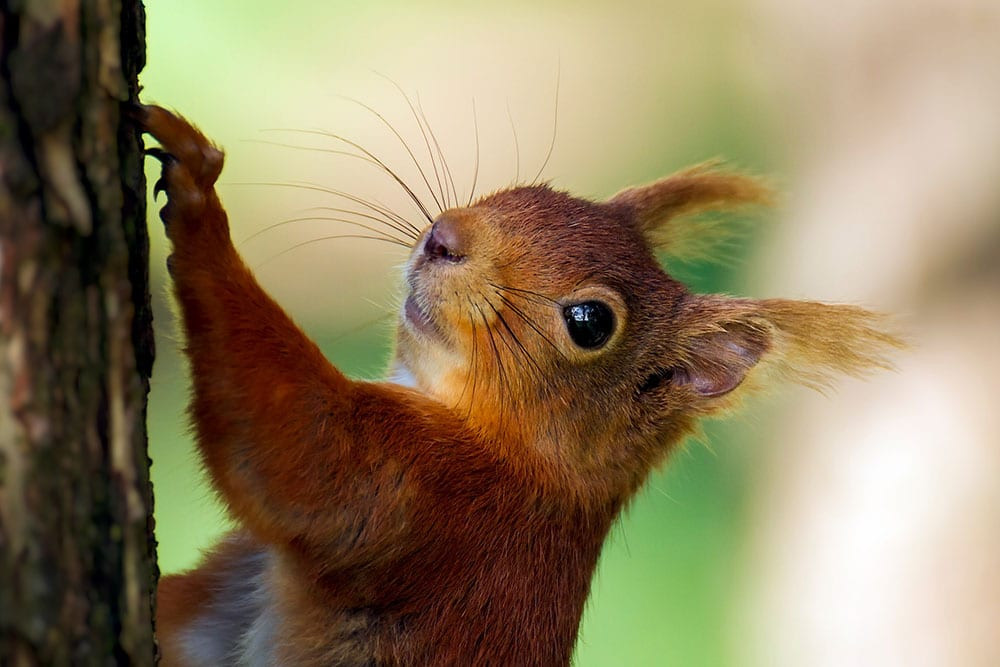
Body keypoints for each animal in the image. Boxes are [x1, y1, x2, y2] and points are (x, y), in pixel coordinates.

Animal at [136, 104, 901, 666]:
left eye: (591, 322)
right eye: (528, 194)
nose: (444, 236)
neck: (535, 464)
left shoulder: (435, 500)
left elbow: (294, 443)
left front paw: (199, 201)